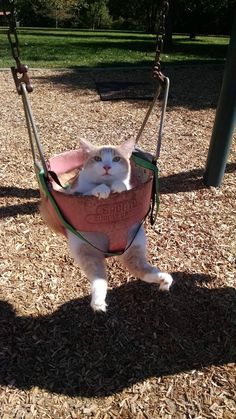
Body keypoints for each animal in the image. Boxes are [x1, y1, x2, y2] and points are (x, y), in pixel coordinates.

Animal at [40, 139, 173, 314]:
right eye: (97, 158)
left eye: (116, 159)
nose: (107, 167)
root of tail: (110, 252)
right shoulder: (73, 194)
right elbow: (90, 191)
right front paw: (101, 190)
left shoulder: (130, 188)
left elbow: (123, 186)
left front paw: (117, 185)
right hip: (85, 252)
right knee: (99, 278)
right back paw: (98, 303)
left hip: (134, 245)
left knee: (140, 269)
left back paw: (163, 279)